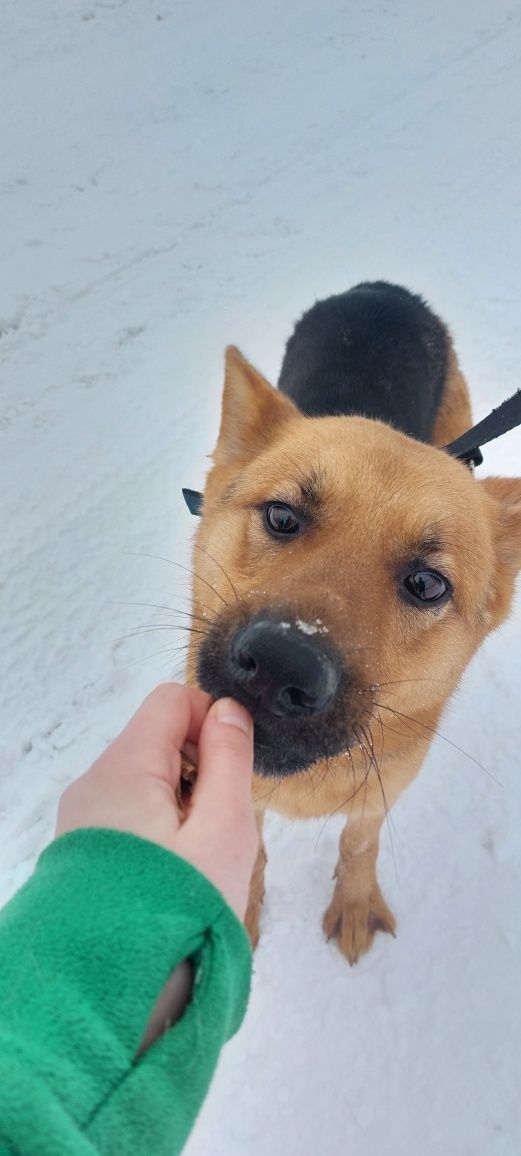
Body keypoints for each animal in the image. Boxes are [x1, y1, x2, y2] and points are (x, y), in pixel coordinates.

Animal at [184, 284, 521, 961]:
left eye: (427, 583)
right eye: (282, 516)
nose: (280, 664)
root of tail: (384, 290)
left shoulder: (382, 786)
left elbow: (358, 840)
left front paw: (355, 901)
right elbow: (251, 851)